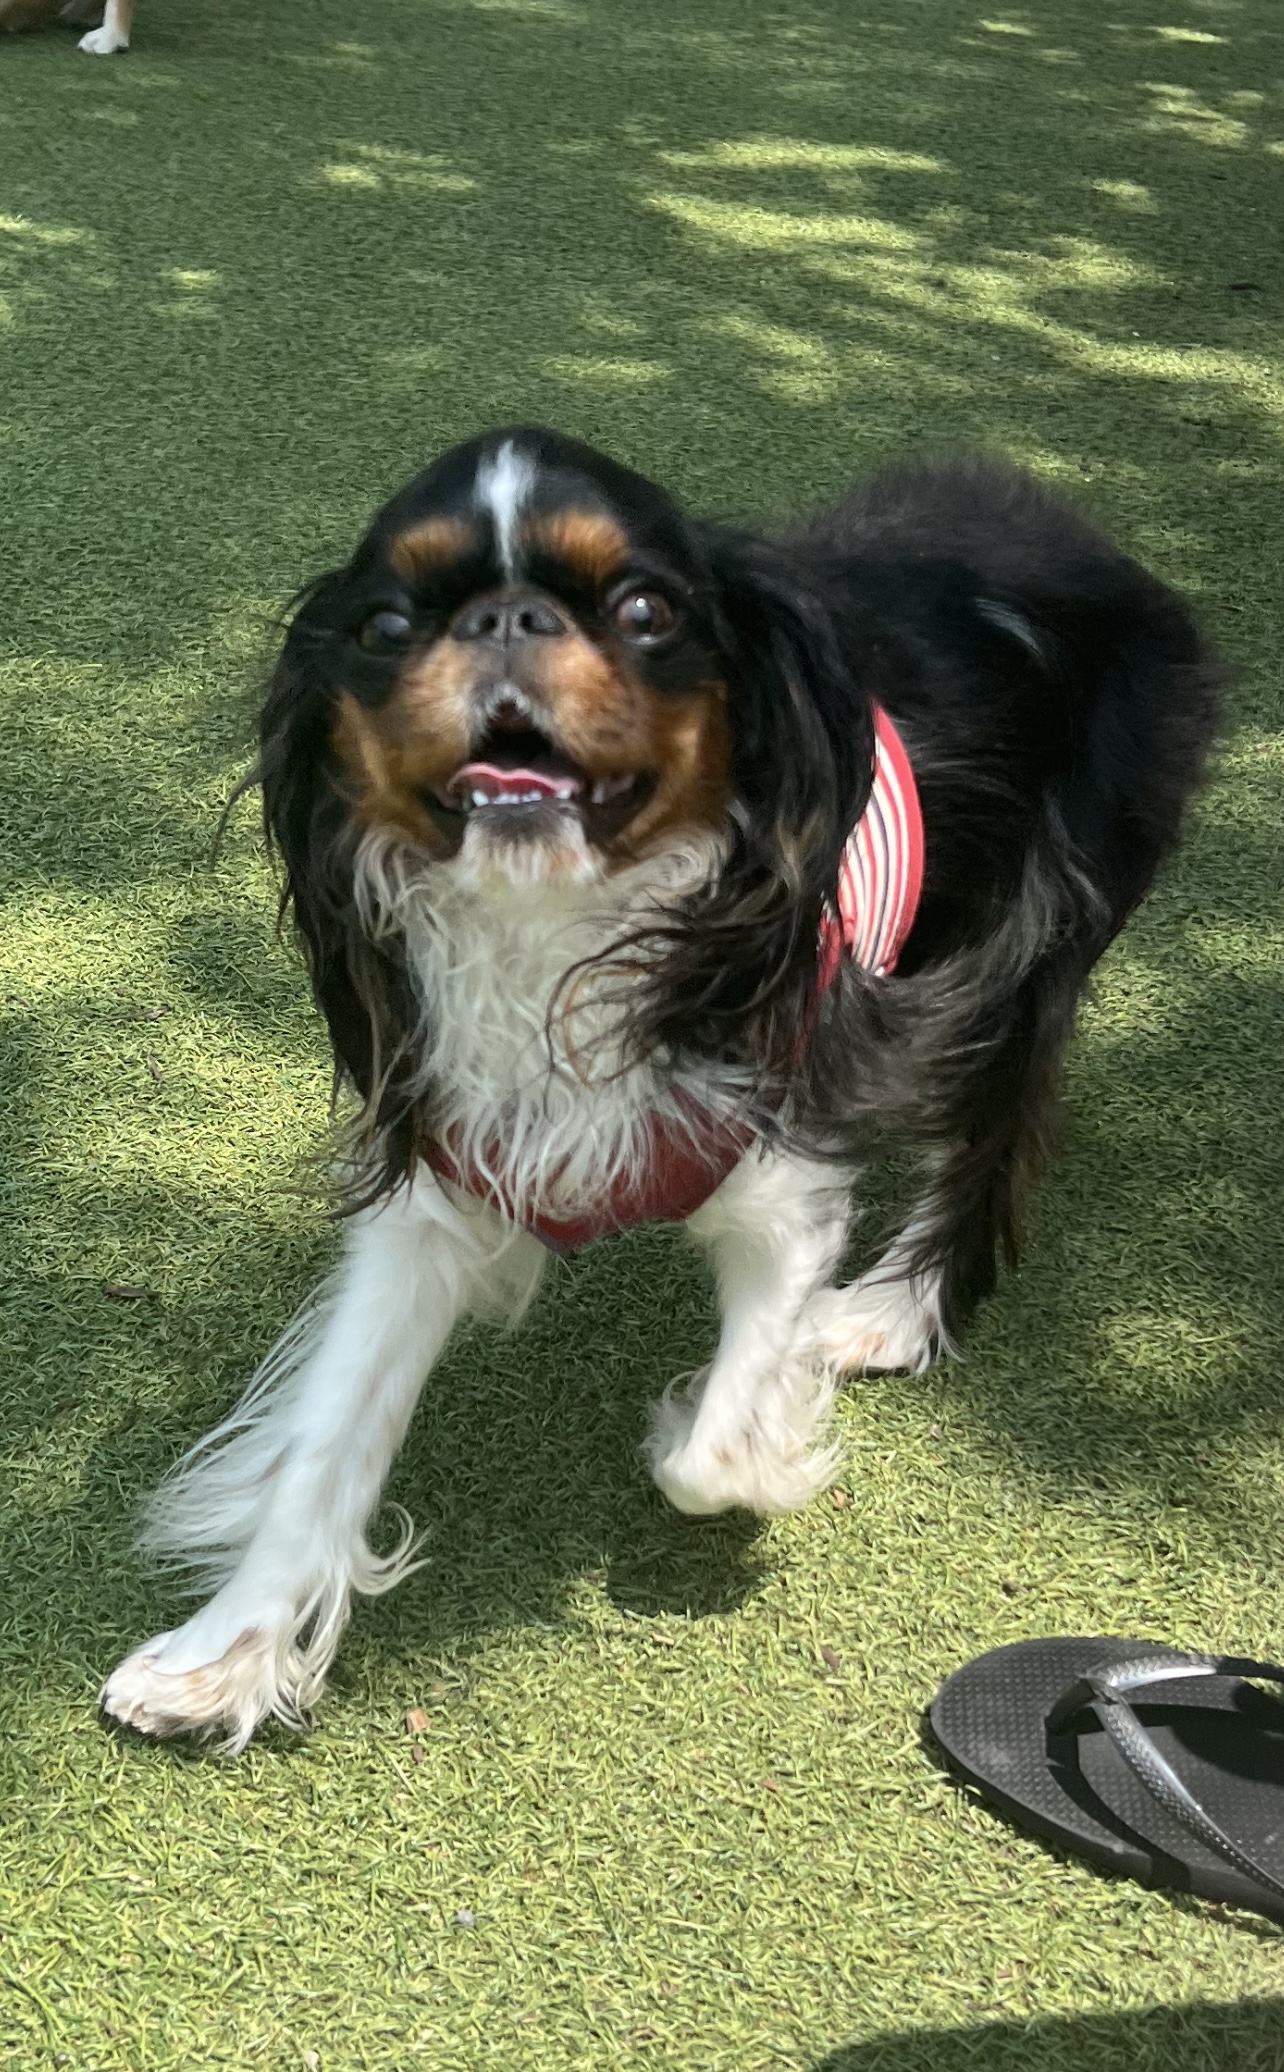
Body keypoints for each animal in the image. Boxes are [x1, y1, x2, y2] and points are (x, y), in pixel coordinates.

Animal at [101, 428, 1222, 1749]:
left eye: (644, 610)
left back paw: (892, 1310)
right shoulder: (435, 1195)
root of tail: (1083, 537)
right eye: (384, 625)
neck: (560, 928)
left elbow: (706, 1459)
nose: (505, 615)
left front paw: (725, 1422)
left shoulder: (785, 1185)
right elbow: (328, 1436)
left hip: (1041, 931)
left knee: (994, 1126)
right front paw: (221, 1654)